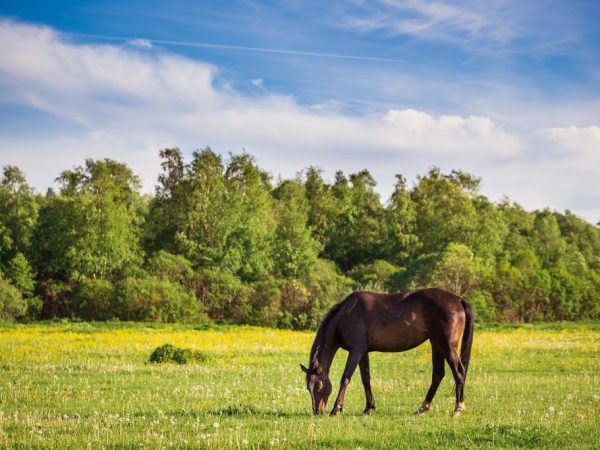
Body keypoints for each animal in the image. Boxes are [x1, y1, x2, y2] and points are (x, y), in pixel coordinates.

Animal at [300, 288, 474, 414]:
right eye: (308, 387)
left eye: (318, 386)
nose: (317, 411)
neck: (346, 314)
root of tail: (458, 299)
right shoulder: (363, 352)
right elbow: (366, 379)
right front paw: (369, 407)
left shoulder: (356, 351)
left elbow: (345, 378)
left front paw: (336, 409)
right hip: (436, 344)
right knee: (438, 374)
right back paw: (423, 407)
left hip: (447, 346)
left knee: (459, 373)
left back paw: (458, 408)